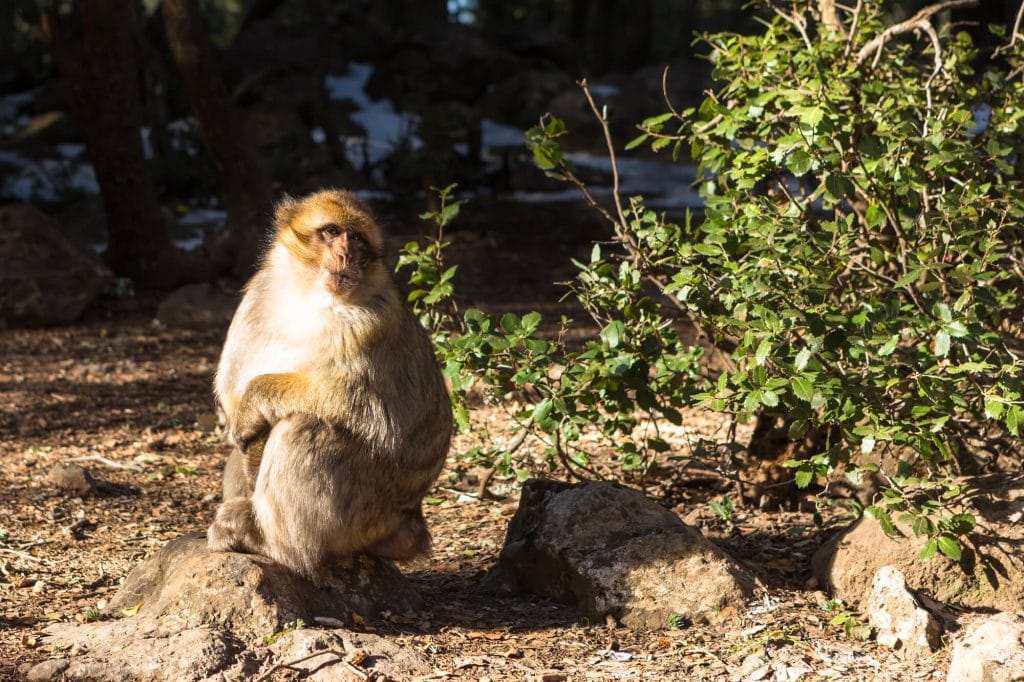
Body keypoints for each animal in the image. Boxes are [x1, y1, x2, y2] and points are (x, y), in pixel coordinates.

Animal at [205, 189, 450, 577]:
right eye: (332, 231)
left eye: (358, 239)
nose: (346, 253)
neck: (308, 296)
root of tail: (409, 522)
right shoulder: (255, 299)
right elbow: (232, 385)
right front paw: (246, 440)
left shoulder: (372, 322)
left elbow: (358, 404)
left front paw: (254, 403)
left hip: (366, 511)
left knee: (304, 428)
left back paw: (271, 543)